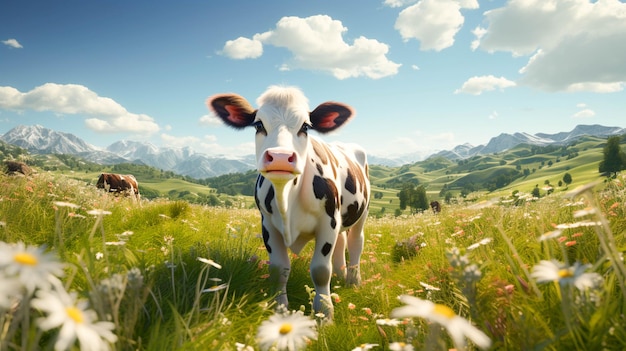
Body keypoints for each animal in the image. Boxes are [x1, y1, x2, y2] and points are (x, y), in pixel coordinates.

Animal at [207, 85, 368, 320]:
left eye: (306, 127)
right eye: (258, 124)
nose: (280, 157)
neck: (287, 201)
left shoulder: (328, 221)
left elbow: (321, 271)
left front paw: (324, 314)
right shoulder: (268, 224)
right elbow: (279, 270)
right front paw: (280, 310)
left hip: (361, 214)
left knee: (356, 242)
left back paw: (353, 281)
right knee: (341, 242)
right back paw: (341, 274)